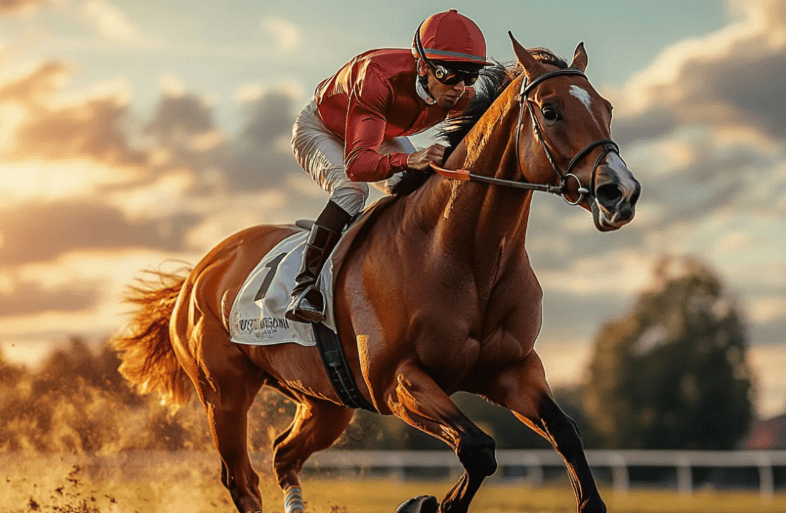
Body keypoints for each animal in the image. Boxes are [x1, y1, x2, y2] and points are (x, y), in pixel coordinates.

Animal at [114, 34, 640, 513]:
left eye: (607, 108)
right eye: (550, 111)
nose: (621, 191)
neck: (459, 253)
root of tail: (198, 274)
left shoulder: (512, 370)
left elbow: (566, 434)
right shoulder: (396, 382)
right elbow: (478, 449)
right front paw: (426, 504)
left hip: (325, 400)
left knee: (284, 455)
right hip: (223, 395)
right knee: (241, 480)